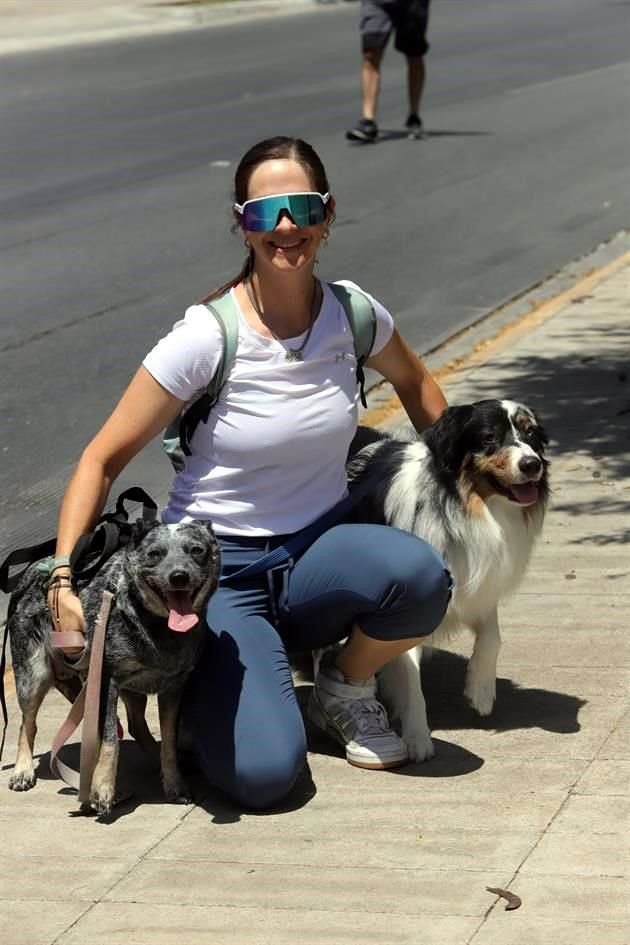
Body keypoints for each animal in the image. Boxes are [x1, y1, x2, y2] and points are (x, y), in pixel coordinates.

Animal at [5, 520, 220, 816]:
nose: (179, 576)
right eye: (155, 554)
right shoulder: (106, 680)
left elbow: (169, 738)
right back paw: (23, 771)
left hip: (131, 690)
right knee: (28, 722)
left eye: (197, 550)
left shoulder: (174, 687)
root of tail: (31, 573)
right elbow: (109, 740)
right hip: (33, 674)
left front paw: (174, 783)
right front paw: (103, 789)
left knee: (137, 725)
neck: (158, 627)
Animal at [348, 396, 552, 760]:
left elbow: (492, 637)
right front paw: (417, 738)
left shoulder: (475, 583)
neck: (465, 504)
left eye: (530, 434)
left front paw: (481, 690)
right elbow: (410, 678)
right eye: (489, 438)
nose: (532, 464)